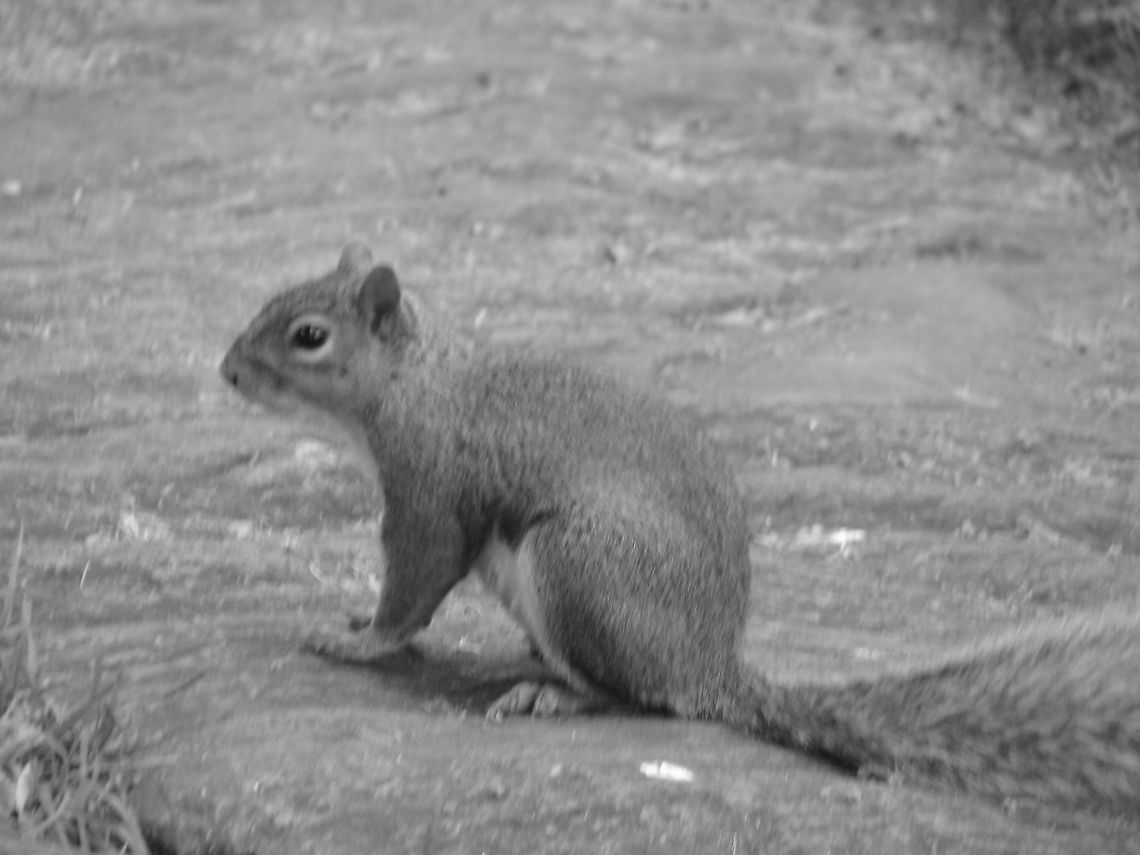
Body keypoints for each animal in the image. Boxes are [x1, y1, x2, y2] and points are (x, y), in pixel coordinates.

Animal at [220, 243, 1140, 815]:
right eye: (269, 301)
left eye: (309, 336)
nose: (226, 371)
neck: (415, 385)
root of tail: (711, 668)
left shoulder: (431, 493)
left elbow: (413, 585)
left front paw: (358, 641)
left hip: (580, 562)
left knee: (635, 696)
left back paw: (553, 693)